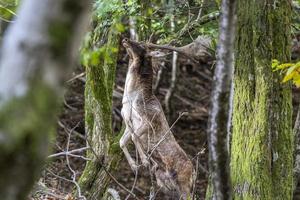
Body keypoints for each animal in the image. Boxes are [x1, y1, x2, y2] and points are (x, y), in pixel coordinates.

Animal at [119, 38, 195, 199]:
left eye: (142, 45)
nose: (125, 39)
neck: (131, 98)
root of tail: (193, 172)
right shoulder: (129, 122)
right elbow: (122, 141)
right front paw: (134, 166)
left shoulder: (149, 120)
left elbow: (134, 138)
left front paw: (145, 161)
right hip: (166, 184)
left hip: (184, 183)